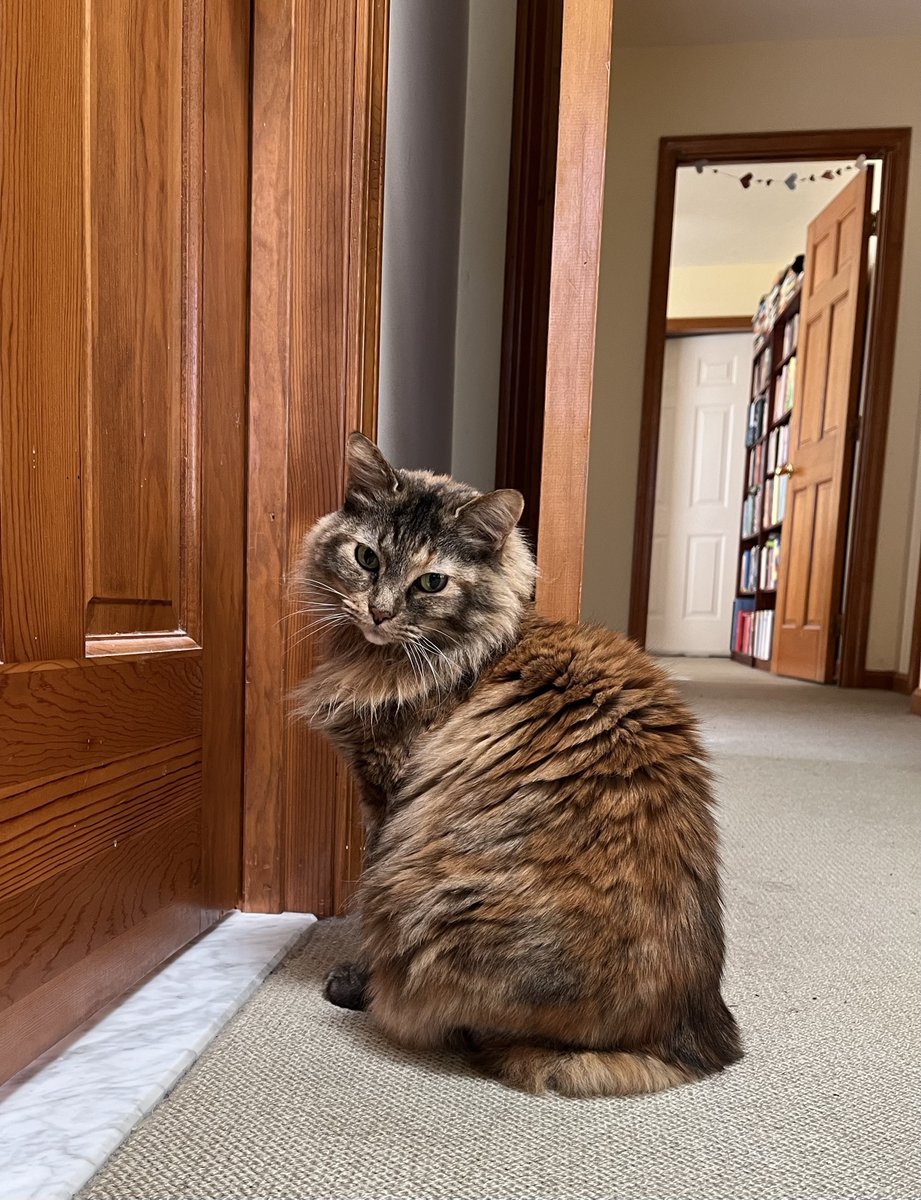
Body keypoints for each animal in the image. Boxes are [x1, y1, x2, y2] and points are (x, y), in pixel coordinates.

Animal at [295, 434, 738, 1099]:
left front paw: (354, 975)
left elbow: (366, 898)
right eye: (366, 558)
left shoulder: (388, 796)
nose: (377, 611)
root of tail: (691, 1034)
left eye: (431, 582)